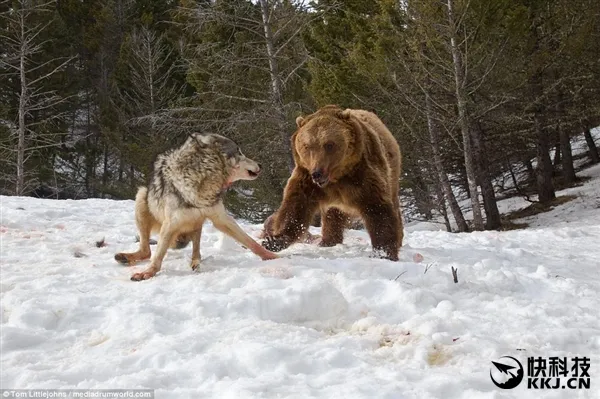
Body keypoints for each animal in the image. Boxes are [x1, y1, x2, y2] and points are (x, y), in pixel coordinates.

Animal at [115, 133, 278, 280]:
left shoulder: (221, 218)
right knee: (146, 251)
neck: (202, 180)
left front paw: (273, 257)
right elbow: (157, 255)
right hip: (142, 196)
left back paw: (195, 263)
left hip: (197, 223)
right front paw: (147, 272)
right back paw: (125, 257)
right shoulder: (171, 223)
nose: (261, 165)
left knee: (195, 250)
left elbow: (250, 242)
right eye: (239, 152)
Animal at [262, 104, 404, 260]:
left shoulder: (363, 174)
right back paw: (328, 241)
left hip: (391, 173)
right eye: (307, 146)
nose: (317, 173)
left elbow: (377, 209)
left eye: (329, 144)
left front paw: (383, 252)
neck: (336, 178)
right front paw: (274, 240)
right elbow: (295, 207)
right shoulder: (306, 178)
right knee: (332, 216)